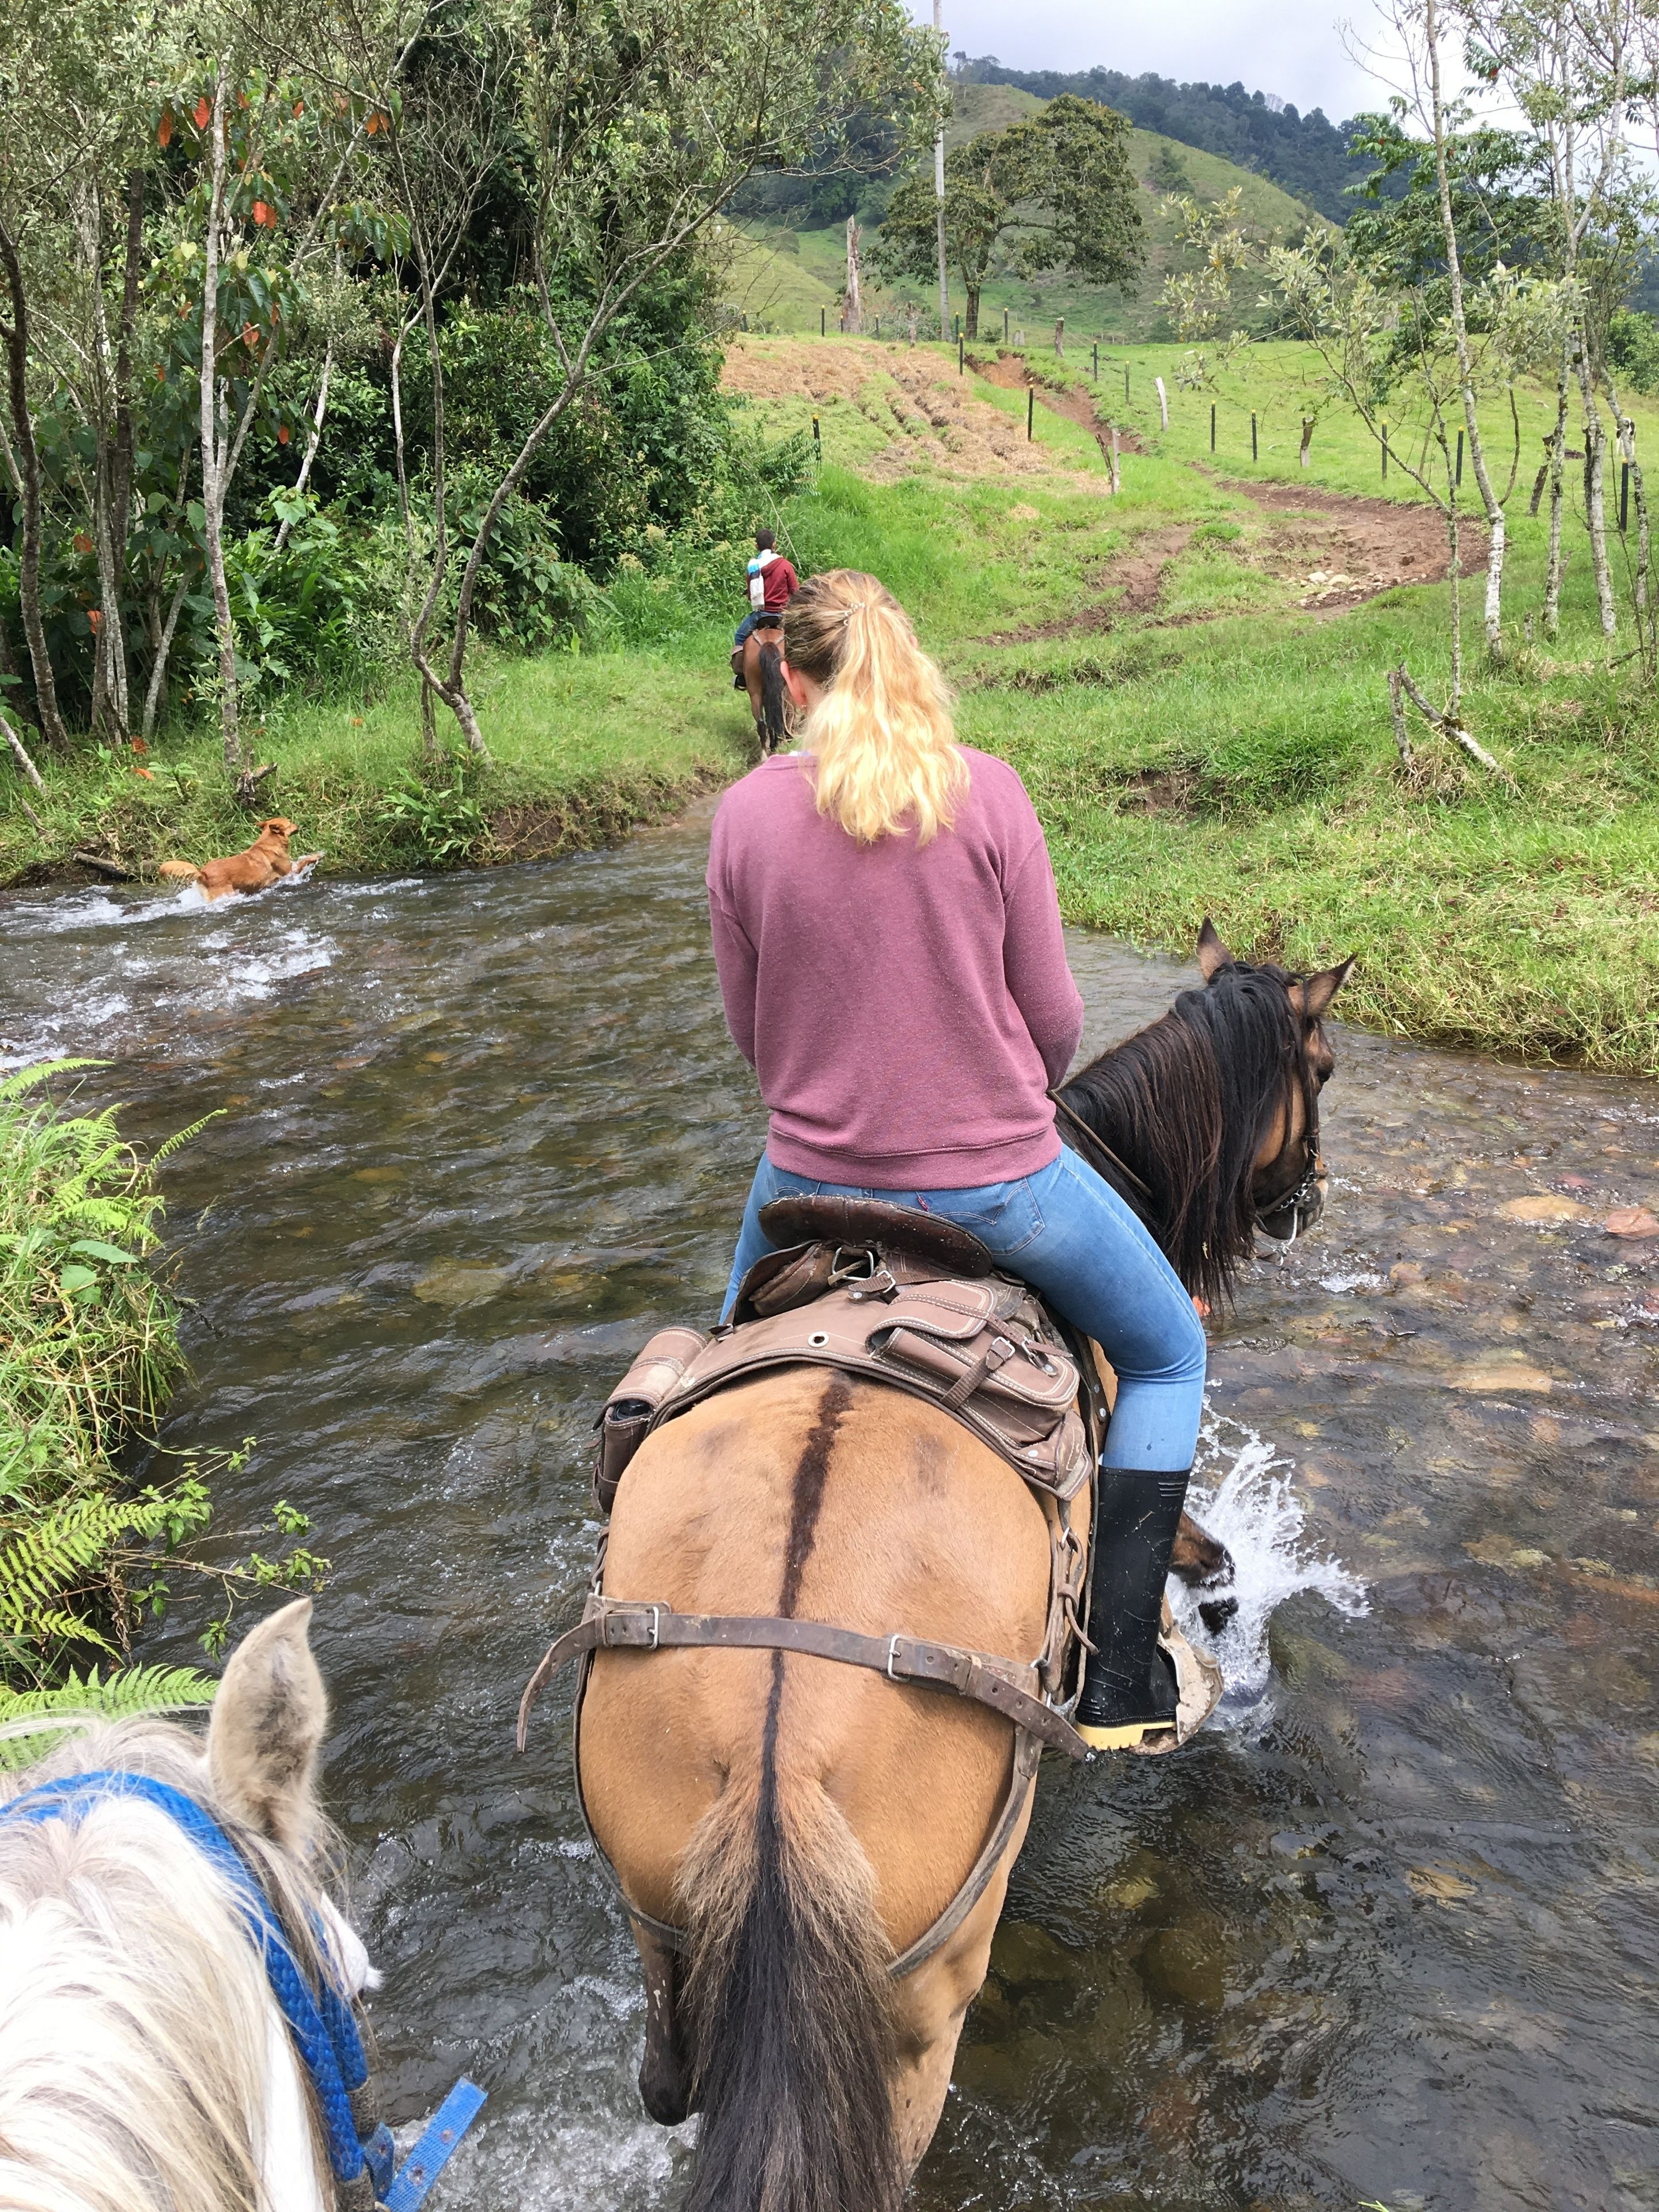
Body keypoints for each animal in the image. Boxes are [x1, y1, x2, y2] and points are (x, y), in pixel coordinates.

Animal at [568, 920, 1352, 2211]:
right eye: (1322, 1066)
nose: (1308, 1202)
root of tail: (774, 1751)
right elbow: (1181, 1546)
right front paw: (1194, 1643)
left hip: (663, 1936)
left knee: (672, 2084)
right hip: (921, 1995)